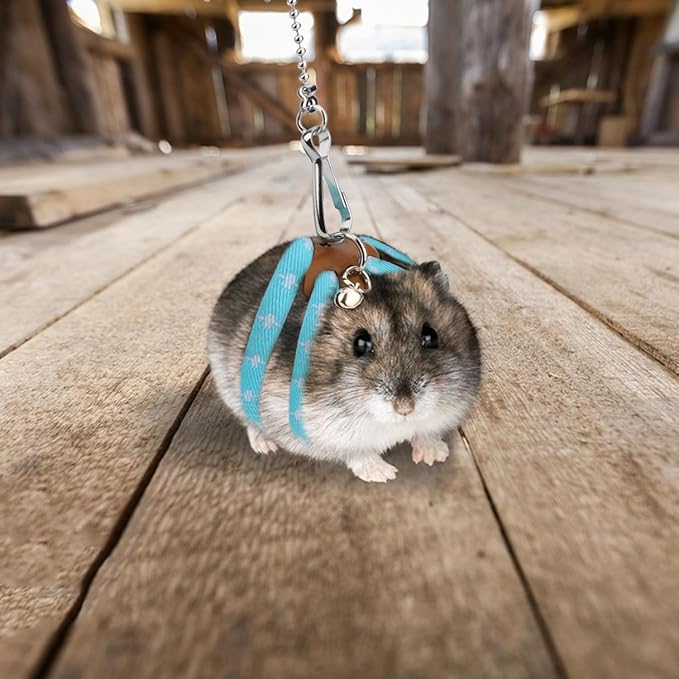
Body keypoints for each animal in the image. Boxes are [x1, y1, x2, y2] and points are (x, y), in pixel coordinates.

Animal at [208, 241, 481, 483]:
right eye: (360, 344)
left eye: (430, 336)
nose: (405, 408)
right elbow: (358, 452)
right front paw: (385, 475)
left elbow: (426, 432)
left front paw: (435, 456)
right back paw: (266, 446)